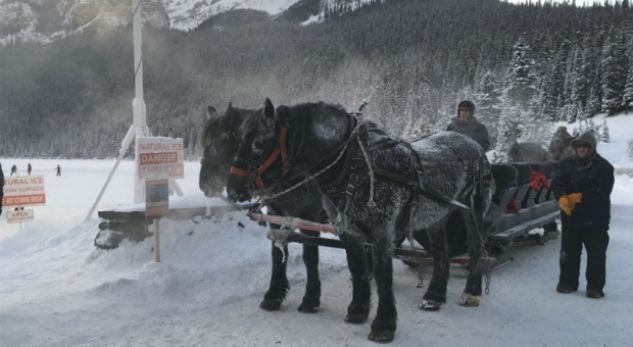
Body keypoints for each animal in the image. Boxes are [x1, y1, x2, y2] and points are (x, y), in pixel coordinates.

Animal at [198, 102, 326, 314]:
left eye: (219, 142)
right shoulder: (276, 216)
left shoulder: (310, 218)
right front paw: (273, 294)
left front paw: (310, 298)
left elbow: (310, 256)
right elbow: (277, 254)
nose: (204, 185)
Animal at [225, 100, 492, 342]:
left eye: (258, 143)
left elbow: (378, 274)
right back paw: (434, 296)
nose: (233, 188)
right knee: (441, 252)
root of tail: (473, 145)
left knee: (476, 247)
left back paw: (472, 291)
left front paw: (383, 324)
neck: (352, 165)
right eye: (239, 138)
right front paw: (357, 309)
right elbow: (353, 267)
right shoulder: (333, 227)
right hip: (435, 216)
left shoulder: (376, 230)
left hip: (472, 210)